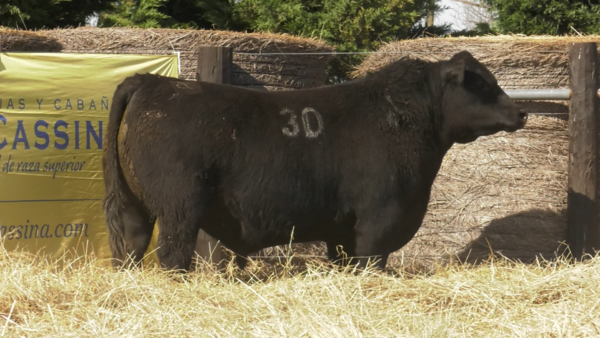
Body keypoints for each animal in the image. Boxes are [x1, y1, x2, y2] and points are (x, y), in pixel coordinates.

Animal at [105, 51, 528, 270]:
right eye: (481, 83)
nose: (521, 112)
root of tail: (150, 81)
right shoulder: (378, 221)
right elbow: (369, 263)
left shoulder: (341, 231)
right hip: (179, 207)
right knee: (173, 254)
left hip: (134, 206)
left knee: (131, 246)